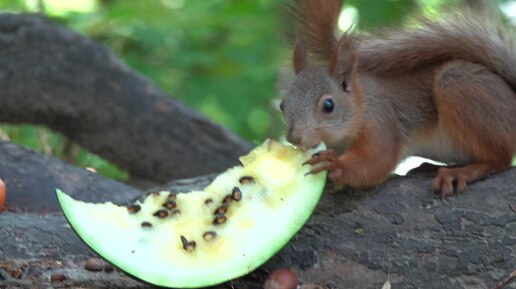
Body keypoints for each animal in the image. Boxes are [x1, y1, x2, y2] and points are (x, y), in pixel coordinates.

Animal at [280, 0, 516, 196]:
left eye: (328, 105)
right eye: (282, 105)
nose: (294, 137)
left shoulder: (381, 121)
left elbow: (377, 161)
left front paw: (336, 165)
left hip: (458, 86)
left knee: (500, 159)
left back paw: (459, 173)